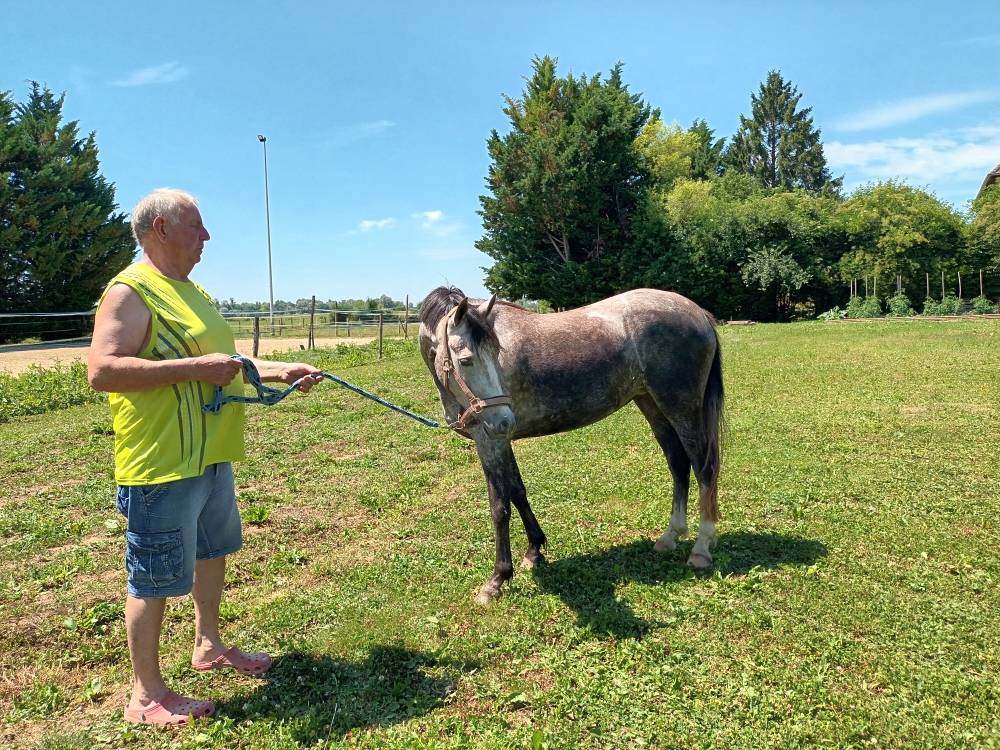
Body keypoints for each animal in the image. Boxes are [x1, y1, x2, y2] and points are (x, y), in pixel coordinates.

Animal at [418, 287, 724, 604]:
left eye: (496, 353)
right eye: (466, 360)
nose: (504, 419)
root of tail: (697, 312)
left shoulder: (491, 440)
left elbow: (499, 507)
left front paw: (497, 580)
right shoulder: (501, 440)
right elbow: (518, 492)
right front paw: (534, 551)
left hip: (682, 408)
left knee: (704, 468)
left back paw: (701, 548)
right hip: (652, 405)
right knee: (678, 464)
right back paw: (670, 536)